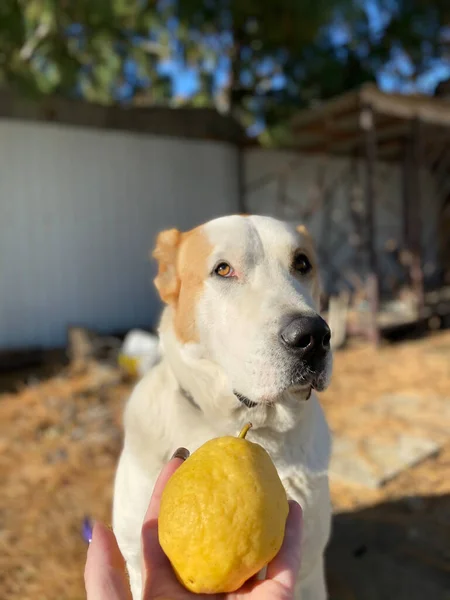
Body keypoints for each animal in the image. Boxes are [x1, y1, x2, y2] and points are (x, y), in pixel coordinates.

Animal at [111, 213, 334, 596]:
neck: (250, 429)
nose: (313, 337)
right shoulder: (137, 565)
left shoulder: (308, 573)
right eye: (223, 269)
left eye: (302, 263)